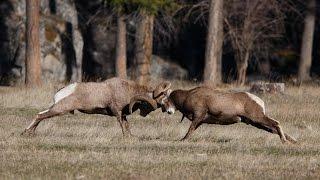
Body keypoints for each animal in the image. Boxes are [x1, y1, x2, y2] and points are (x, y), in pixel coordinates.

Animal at [21, 77, 172, 136]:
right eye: (164, 96)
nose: (169, 111)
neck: (128, 91)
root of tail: (62, 92)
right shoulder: (117, 112)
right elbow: (122, 125)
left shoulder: (123, 114)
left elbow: (127, 126)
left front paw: (130, 137)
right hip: (60, 109)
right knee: (40, 115)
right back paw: (26, 132)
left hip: (56, 108)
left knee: (40, 115)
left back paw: (30, 133)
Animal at [133, 85, 298, 143]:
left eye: (164, 101)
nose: (168, 112)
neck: (188, 97)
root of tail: (259, 101)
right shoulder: (200, 120)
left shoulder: (198, 116)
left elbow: (189, 131)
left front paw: (182, 140)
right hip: (255, 122)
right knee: (273, 129)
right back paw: (293, 141)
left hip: (257, 118)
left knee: (276, 124)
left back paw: (285, 141)